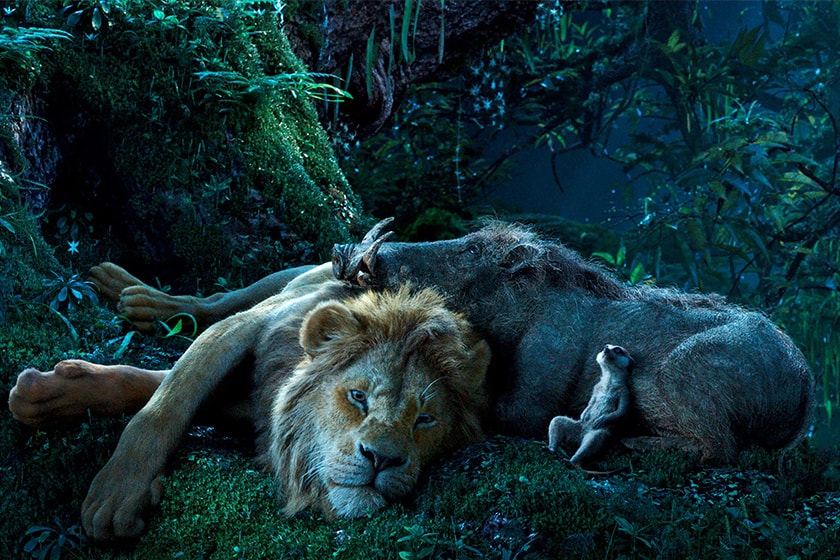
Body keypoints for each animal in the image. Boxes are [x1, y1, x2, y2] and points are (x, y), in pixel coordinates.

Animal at [11, 265, 490, 541]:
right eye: (357, 396)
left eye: (424, 420)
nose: (383, 459)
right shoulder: (246, 328)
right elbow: (166, 402)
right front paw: (117, 494)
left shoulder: (257, 405)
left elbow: (149, 384)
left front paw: (50, 394)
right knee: (213, 301)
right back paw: (138, 295)